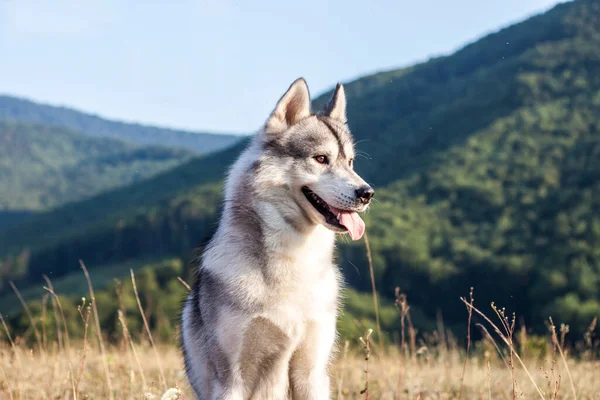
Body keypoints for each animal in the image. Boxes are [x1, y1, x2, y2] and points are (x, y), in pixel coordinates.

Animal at [180, 78, 372, 400]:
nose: (367, 193)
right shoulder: (231, 380)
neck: (293, 259)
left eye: (350, 162)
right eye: (321, 159)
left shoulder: (311, 373)